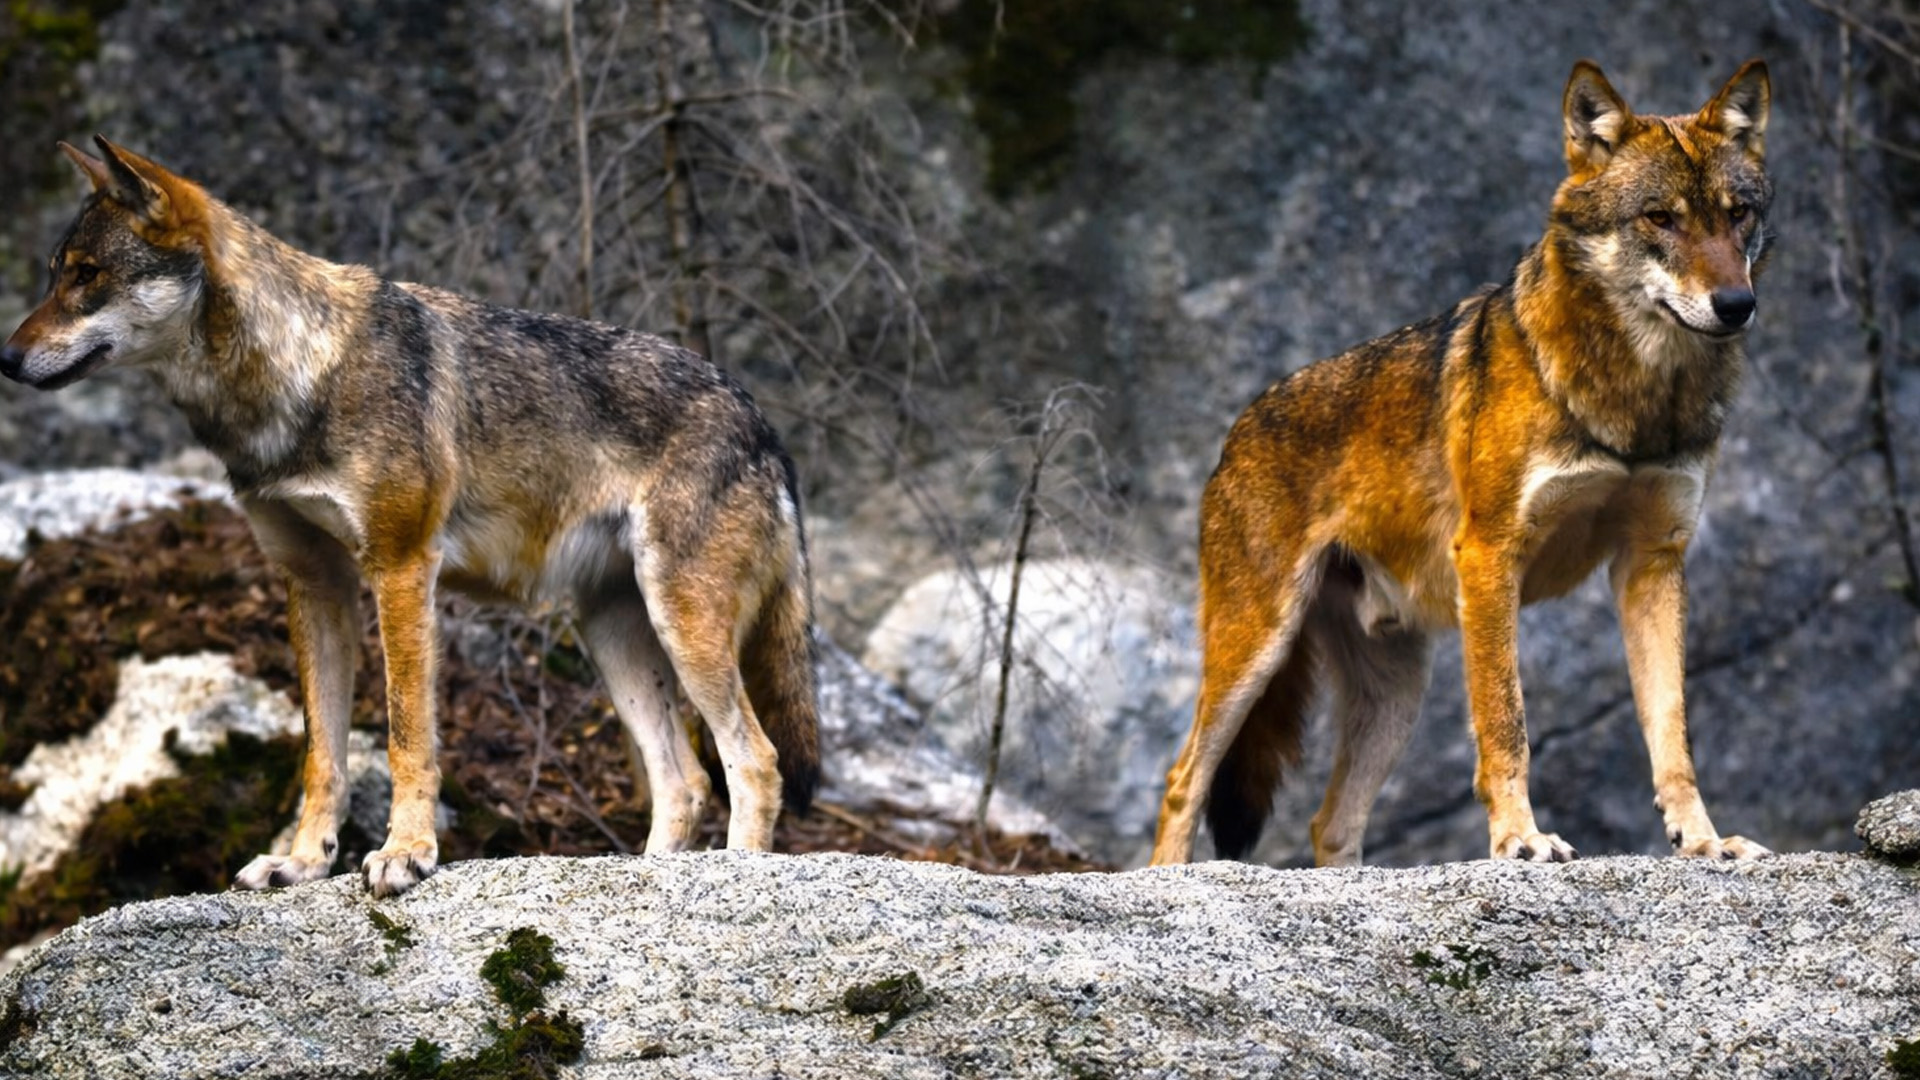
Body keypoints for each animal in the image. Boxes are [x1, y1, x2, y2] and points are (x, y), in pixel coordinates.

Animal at [2, 137, 820, 896]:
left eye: (87, 275)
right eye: (54, 273)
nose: (5, 360)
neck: (299, 376)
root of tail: (764, 426)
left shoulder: (400, 568)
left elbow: (405, 734)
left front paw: (405, 855)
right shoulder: (315, 585)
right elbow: (323, 753)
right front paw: (303, 863)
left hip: (682, 626)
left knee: (756, 761)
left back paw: (737, 873)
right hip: (612, 635)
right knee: (685, 781)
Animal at [1150, 60, 1775, 868]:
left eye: (1737, 215)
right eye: (1660, 219)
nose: (1735, 303)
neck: (1638, 397)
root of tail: (1236, 430)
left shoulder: (1653, 564)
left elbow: (1673, 735)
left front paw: (1704, 841)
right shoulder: (1489, 555)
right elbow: (1507, 723)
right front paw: (1520, 839)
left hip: (1397, 692)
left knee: (1330, 821)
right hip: (1255, 648)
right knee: (1182, 778)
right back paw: (1168, 877)